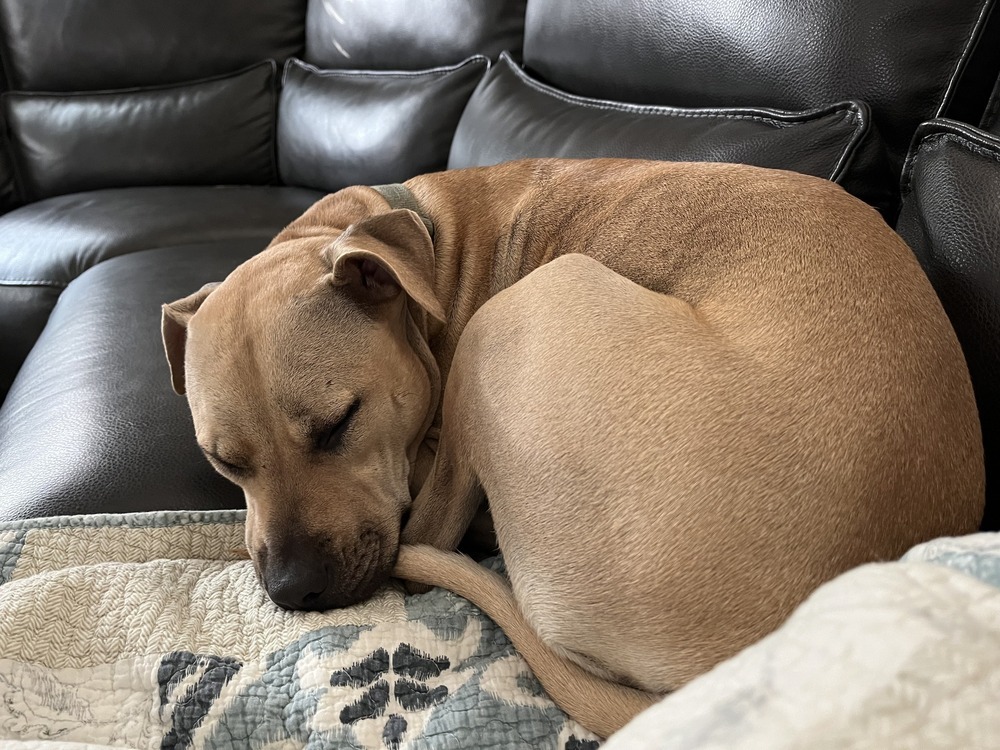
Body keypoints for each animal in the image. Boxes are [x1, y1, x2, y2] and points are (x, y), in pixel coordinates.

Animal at [164, 160, 984, 740]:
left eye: (339, 424)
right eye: (224, 462)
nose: (292, 592)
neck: (427, 245)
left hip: (515, 316)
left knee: (431, 530)